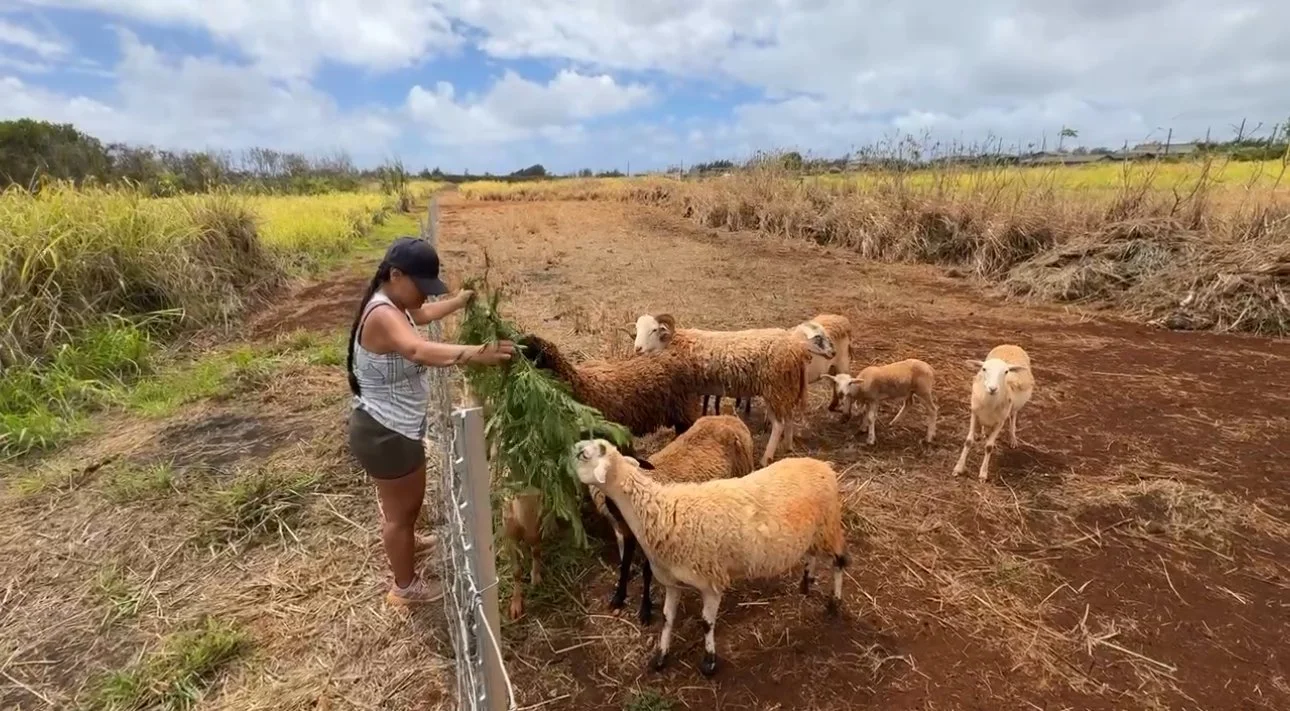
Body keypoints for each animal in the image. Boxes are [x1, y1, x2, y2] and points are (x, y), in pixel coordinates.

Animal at [572, 437, 848, 677]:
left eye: (585, 455)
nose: (570, 450)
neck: (662, 510)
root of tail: (824, 466)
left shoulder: (711, 581)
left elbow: (706, 623)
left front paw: (709, 663)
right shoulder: (672, 581)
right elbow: (667, 619)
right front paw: (660, 656)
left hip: (829, 524)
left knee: (839, 561)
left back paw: (834, 603)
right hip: (813, 531)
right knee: (812, 554)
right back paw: (806, 582)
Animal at [590, 415, 755, 625]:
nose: (616, 512)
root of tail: (729, 417)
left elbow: (646, 572)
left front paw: (645, 610)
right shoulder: (629, 534)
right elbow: (625, 565)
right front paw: (618, 597)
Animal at [632, 313, 836, 466]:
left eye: (654, 329)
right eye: (637, 329)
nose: (637, 349)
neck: (673, 344)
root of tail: (796, 348)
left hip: (775, 387)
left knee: (778, 424)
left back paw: (766, 458)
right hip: (782, 388)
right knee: (788, 418)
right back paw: (787, 446)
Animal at [952, 344, 1034, 482]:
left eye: (1006, 372)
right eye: (984, 369)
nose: (993, 388)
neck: (990, 403)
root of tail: (1011, 345)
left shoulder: (1000, 422)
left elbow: (989, 447)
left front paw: (983, 474)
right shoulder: (974, 413)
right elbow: (968, 441)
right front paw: (958, 468)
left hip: (1014, 407)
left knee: (1013, 416)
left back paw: (1012, 438)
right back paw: (983, 433)